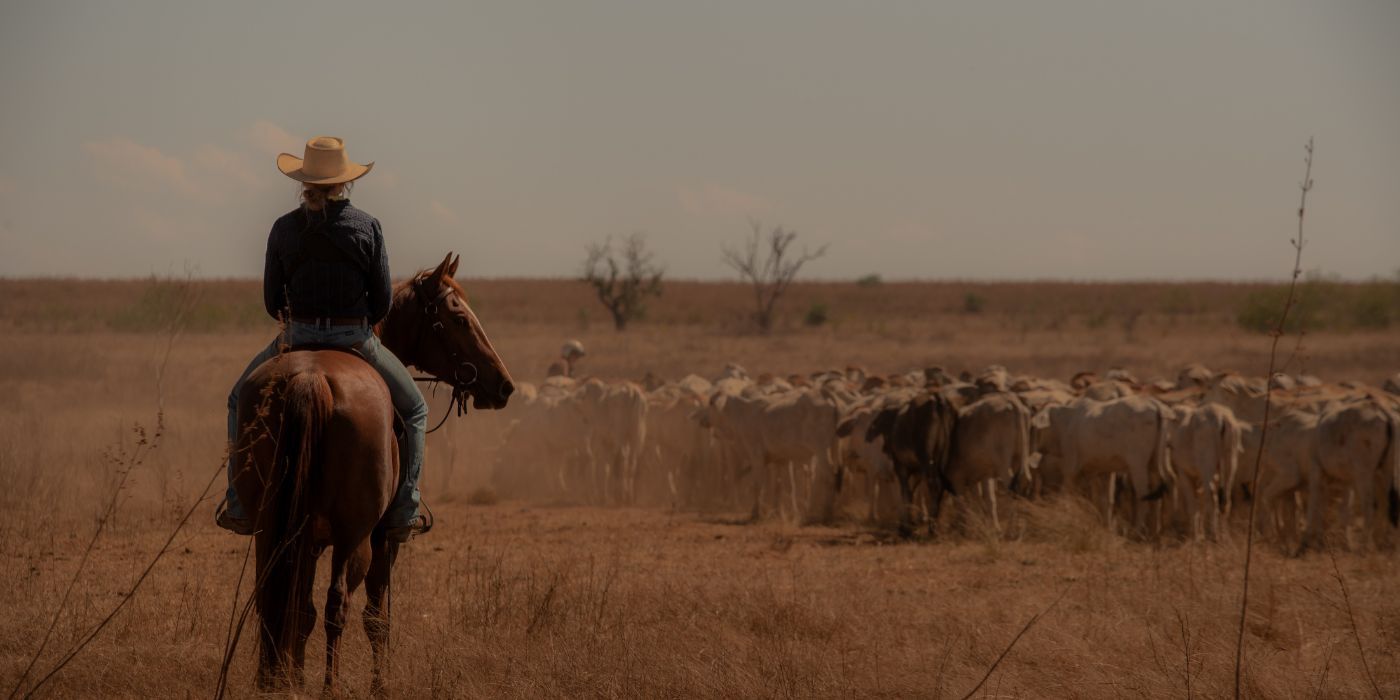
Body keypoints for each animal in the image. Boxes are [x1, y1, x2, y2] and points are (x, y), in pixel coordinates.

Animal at [229, 253, 515, 694]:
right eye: (459, 319)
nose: (503, 386)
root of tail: (310, 378)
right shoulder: (383, 540)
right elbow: (376, 617)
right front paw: (379, 686)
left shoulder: (306, 538)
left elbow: (298, 608)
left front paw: (294, 679)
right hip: (356, 536)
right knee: (338, 605)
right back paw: (328, 688)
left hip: (269, 526)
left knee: (275, 598)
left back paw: (274, 682)